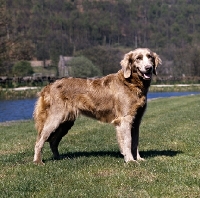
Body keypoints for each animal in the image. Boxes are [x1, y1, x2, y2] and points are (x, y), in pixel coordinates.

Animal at [32, 48, 161, 164]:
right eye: (138, 58)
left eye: (150, 57)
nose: (149, 68)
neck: (131, 83)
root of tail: (48, 86)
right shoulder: (125, 119)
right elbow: (128, 141)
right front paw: (130, 160)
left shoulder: (136, 120)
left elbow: (135, 142)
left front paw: (138, 158)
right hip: (55, 118)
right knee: (39, 140)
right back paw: (38, 161)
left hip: (66, 122)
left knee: (53, 141)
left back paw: (58, 158)